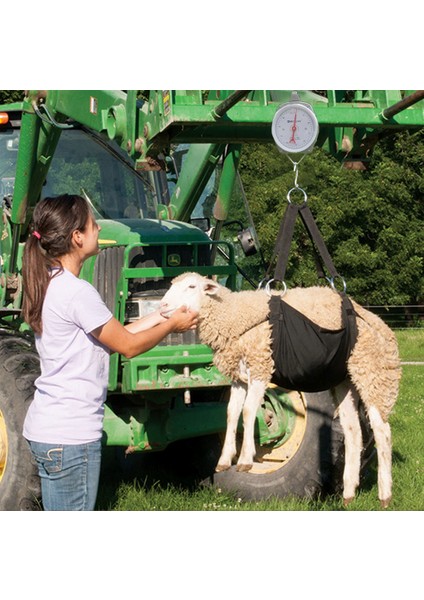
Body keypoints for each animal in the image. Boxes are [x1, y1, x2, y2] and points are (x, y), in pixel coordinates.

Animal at [159, 272, 400, 506]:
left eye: (191, 287)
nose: (162, 306)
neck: (232, 315)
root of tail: (378, 321)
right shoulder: (238, 377)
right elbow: (230, 413)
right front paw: (225, 459)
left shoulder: (260, 366)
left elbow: (249, 411)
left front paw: (245, 459)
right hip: (344, 380)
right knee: (353, 430)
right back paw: (349, 490)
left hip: (374, 372)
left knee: (383, 432)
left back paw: (385, 493)